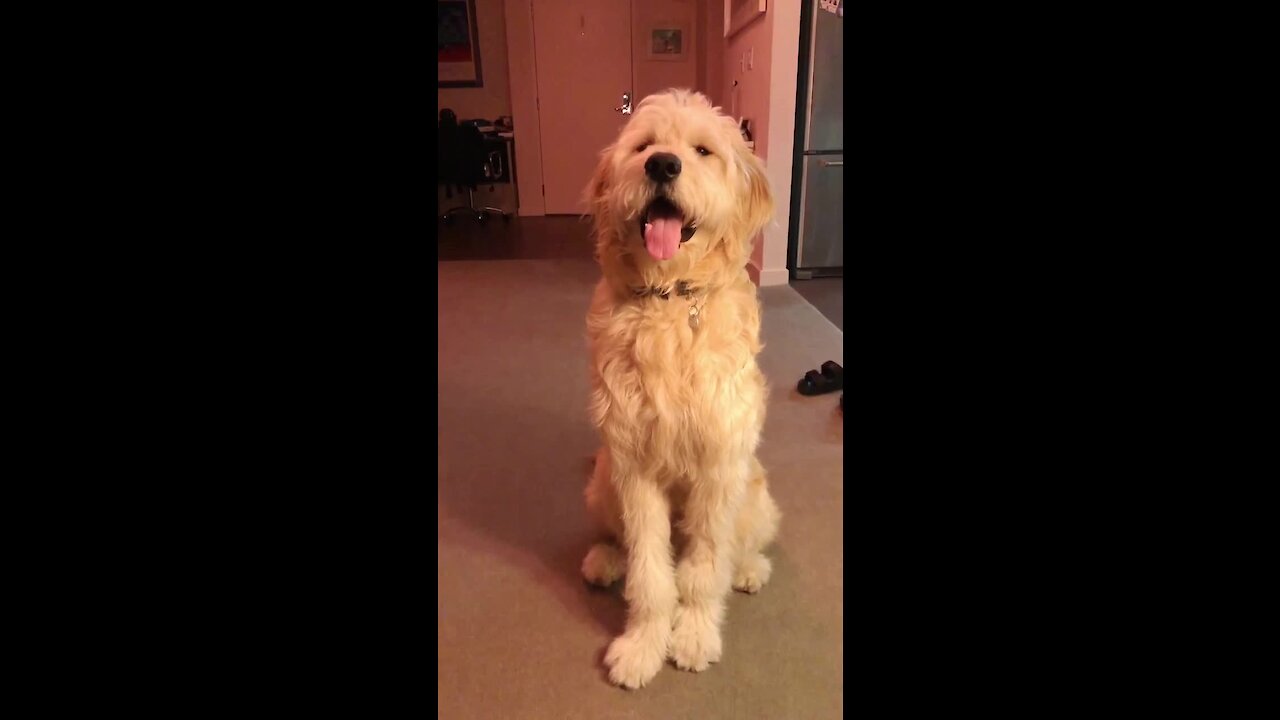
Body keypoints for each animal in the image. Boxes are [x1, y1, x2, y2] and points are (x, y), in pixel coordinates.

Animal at [581, 87, 778, 686]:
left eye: (702, 150)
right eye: (644, 145)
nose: (663, 165)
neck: (671, 300)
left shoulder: (719, 468)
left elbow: (704, 567)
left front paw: (692, 634)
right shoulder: (634, 468)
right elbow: (649, 572)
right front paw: (643, 644)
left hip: (753, 491)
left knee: (744, 542)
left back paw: (750, 569)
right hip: (602, 482)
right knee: (618, 539)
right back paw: (604, 559)